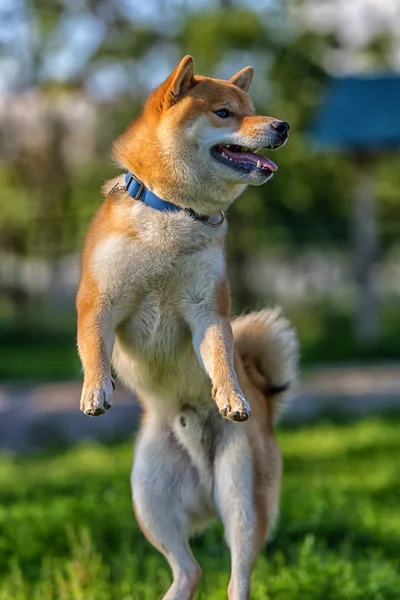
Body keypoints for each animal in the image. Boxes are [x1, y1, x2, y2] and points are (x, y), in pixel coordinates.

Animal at [77, 56, 296, 600]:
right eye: (224, 113)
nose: (282, 127)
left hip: (240, 495)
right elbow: (94, 347)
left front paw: (229, 395)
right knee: (189, 568)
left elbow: (219, 352)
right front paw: (96, 388)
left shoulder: (207, 311)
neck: (175, 214)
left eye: (252, 109)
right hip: (150, 497)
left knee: (238, 574)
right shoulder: (99, 303)